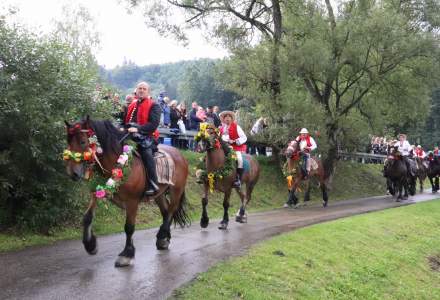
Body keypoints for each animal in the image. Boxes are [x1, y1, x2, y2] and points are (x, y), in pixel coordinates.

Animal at [64, 117, 191, 268]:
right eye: (68, 141)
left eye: (83, 141)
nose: (72, 173)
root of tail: (179, 154)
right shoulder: (98, 192)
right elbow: (87, 217)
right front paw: (90, 245)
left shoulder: (132, 202)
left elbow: (129, 227)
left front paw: (126, 254)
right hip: (159, 194)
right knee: (166, 212)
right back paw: (164, 239)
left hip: (176, 191)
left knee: (171, 211)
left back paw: (161, 237)